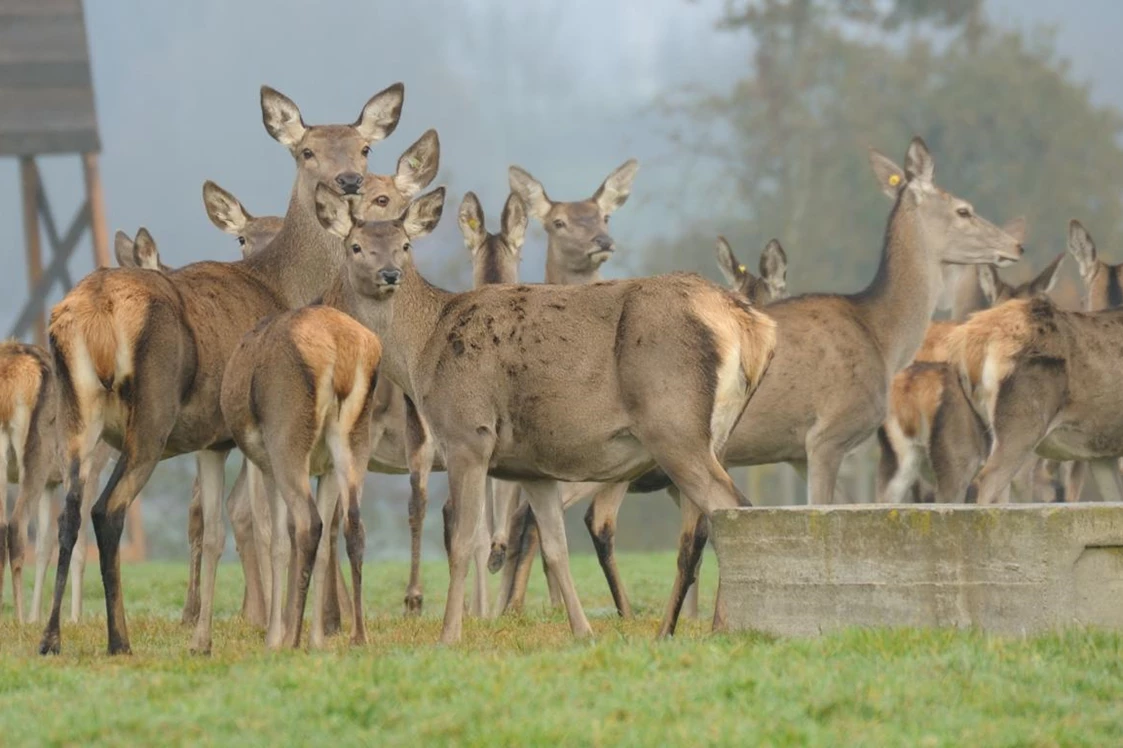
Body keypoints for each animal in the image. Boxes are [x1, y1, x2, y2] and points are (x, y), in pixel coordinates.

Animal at [40, 83, 408, 651]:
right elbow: (273, 528)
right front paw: (275, 631)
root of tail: (94, 311)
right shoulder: (250, 431)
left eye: (364, 148)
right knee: (108, 510)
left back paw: (52, 638)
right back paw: (119, 639)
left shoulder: (211, 438)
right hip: (150, 414)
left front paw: (209, 636)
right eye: (306, 151)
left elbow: (216, 529)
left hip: (74, 418)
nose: (348, 181)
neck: (283, 285)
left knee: (70, 513)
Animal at [312, 180, 777, 642]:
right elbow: (555, 549)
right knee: (706, 526)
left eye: (405, 245)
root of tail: (749, 326)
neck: (422, 352)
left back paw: (730, 627)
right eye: (356, 246)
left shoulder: (467, 434)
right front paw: (583, 632)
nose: (390, 274)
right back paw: (671, 630)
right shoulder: (531, 467)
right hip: (712, 435)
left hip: (674, 425)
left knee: (733, 510)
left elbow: (463, 541)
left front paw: (448, 636)